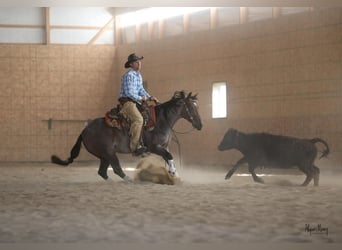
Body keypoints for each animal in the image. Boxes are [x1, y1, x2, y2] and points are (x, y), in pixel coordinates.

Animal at [50, 91, 203, 181]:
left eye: (197, 106)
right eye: (191, 107)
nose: (200, 125)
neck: (161, 120)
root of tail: (84, 130)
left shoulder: (164, 147)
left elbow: (169, 158)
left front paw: (174, 174)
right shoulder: (154, 147)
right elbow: (169, 157)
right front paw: (172, 173)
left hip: (104, 155)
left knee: (103, 172)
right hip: (109, 153)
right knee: (116, 169)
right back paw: (129, 180)